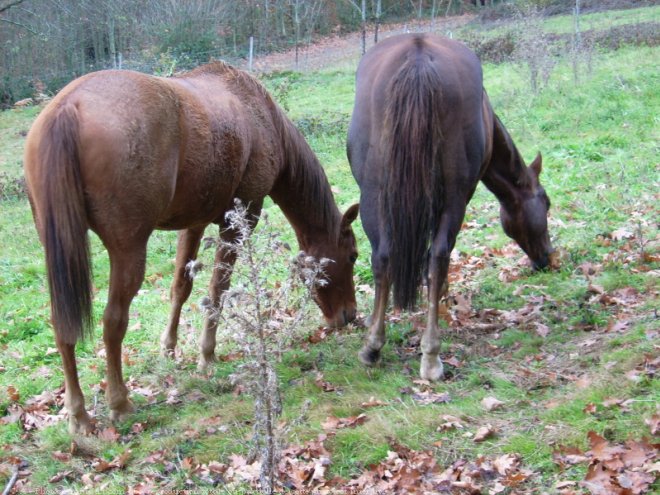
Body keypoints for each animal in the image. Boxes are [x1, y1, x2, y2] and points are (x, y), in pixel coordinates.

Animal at [24, 62, 360, 434]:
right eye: (353, 256)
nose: (349, 316)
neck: (263, 117)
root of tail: (68, 107)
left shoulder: (194, 224)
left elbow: (180, 288)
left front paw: (169, 348)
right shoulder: (237, 224)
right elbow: (217, 292)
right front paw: (207, 356)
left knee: (63, 325)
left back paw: (79, 414)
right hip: (128, 250)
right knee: (113, 322)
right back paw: (119, 402)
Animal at [348, 34, 556, 384]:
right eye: (546, 203)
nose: (546, 258)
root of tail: (418, 56)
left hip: (373, 195)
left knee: (384, 258)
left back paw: (374, 346)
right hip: (453, 198)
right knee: (439, 256)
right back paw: (431, 355)